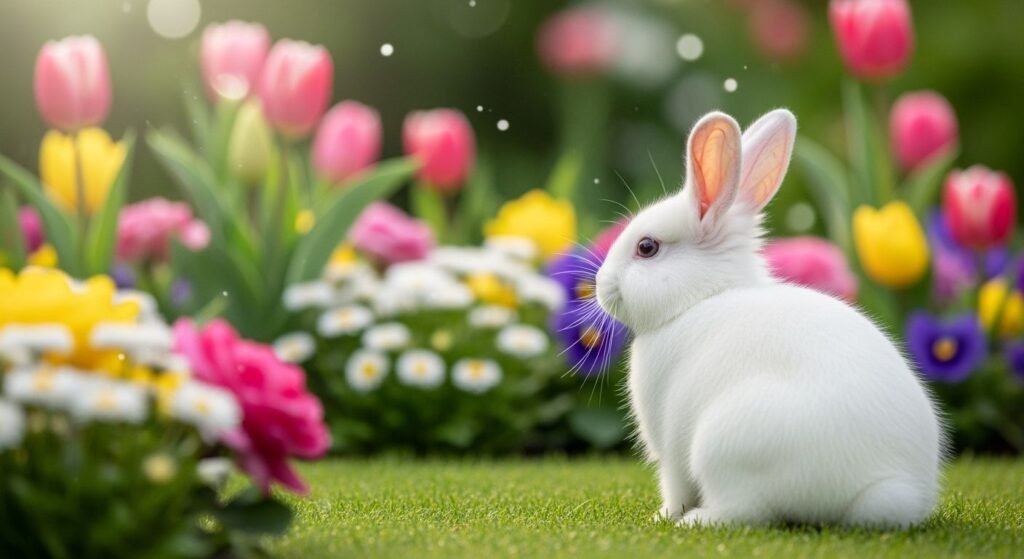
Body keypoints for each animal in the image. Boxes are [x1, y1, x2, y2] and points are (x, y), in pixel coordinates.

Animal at [594, 109, 943, 529]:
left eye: (647, 247)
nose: (600, 285)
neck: (702, 297)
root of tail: (886, 487)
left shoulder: (671, 447)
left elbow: (674, 488)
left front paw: (662, 517)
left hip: (723, 445)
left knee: (747, 511)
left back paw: (695, 521)